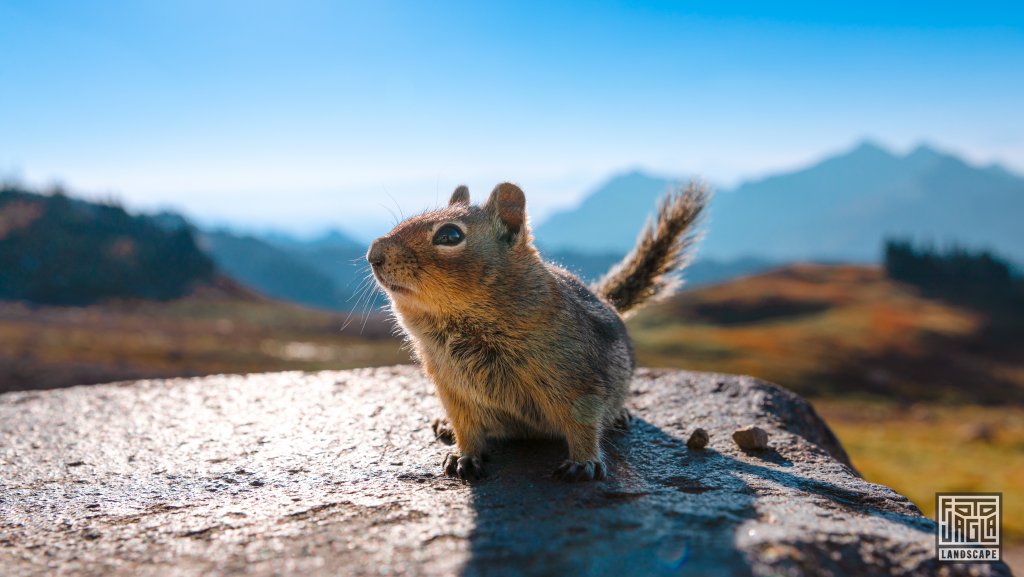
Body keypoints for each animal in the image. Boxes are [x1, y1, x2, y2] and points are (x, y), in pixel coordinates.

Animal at [370, 182, 712, 481]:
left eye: (450, 234)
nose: (374, 254)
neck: (461, 328)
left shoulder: (577, 380)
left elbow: (583, 424)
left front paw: (584, 462)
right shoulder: (453, 390)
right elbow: (466, 427)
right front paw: (464, 455)